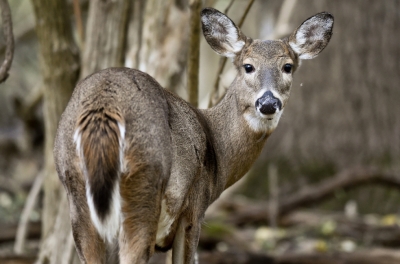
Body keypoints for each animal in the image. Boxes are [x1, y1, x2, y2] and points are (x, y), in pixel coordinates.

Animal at [54, 7, 334, 264]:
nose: (267, 103)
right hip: (144, 183)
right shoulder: (193, 210)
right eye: (248, 66)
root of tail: (105, 105)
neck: (216, 149)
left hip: (76, 193)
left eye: (287, 67)